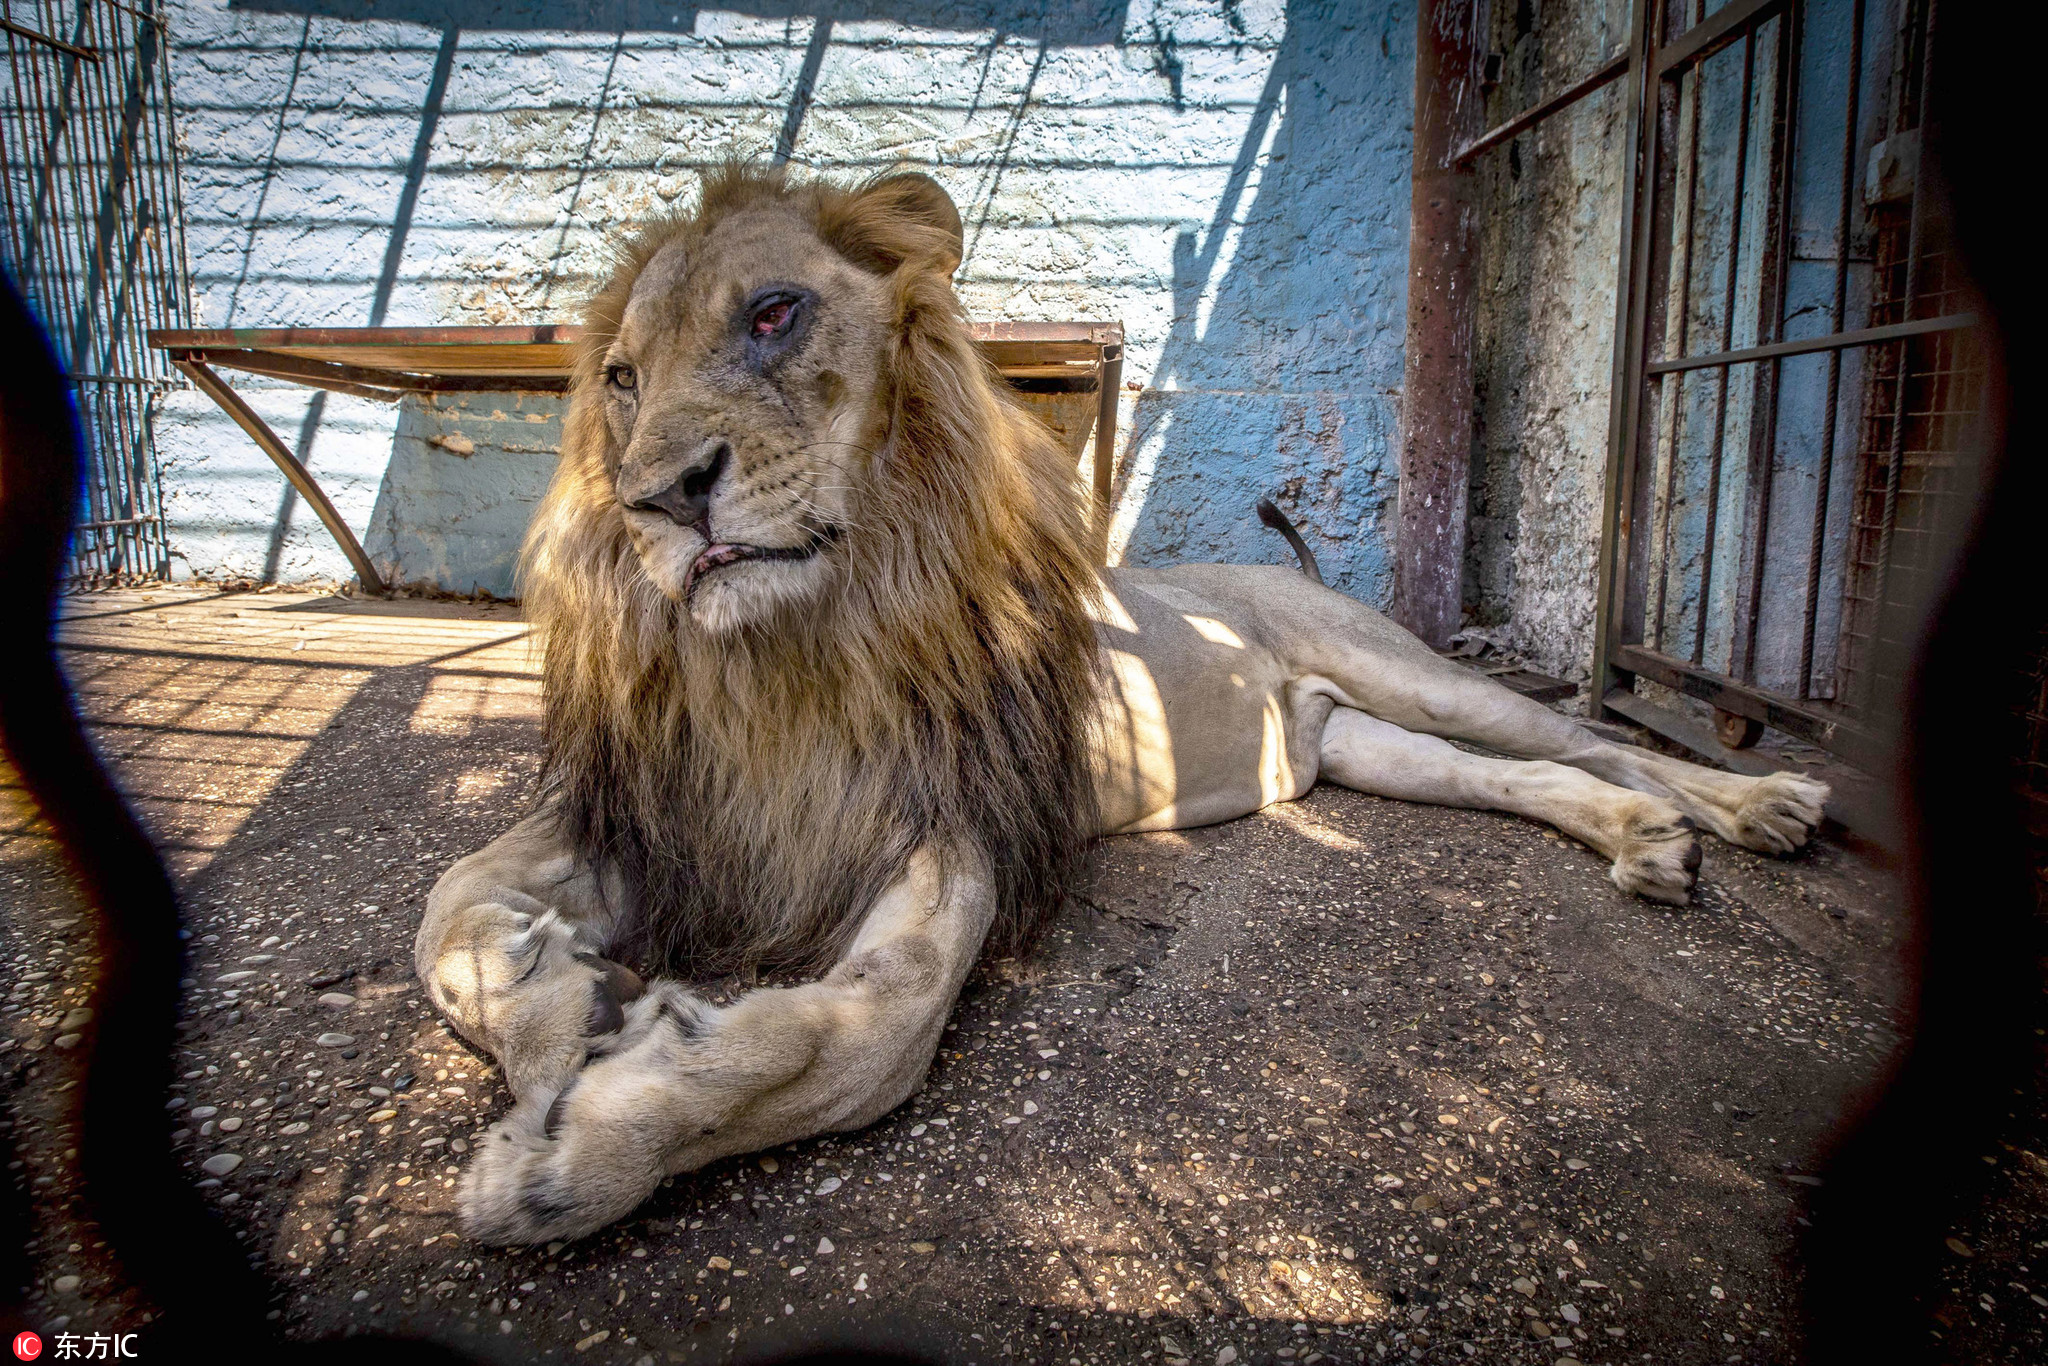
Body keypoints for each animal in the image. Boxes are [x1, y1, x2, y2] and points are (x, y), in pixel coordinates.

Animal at [411, 165, 1826, 1245]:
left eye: (772, 313)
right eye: (619, 380)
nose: (657, 499)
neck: (787, 653)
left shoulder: (953, 819)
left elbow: (871, 1038)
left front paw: (588, 1142)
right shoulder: (659, 810)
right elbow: (445, 918)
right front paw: (563, 1011)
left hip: (1406, 670)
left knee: (1590, 736)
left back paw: (1755, 801)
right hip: (1362, 750)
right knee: (1527, 779)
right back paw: (1645, 844)